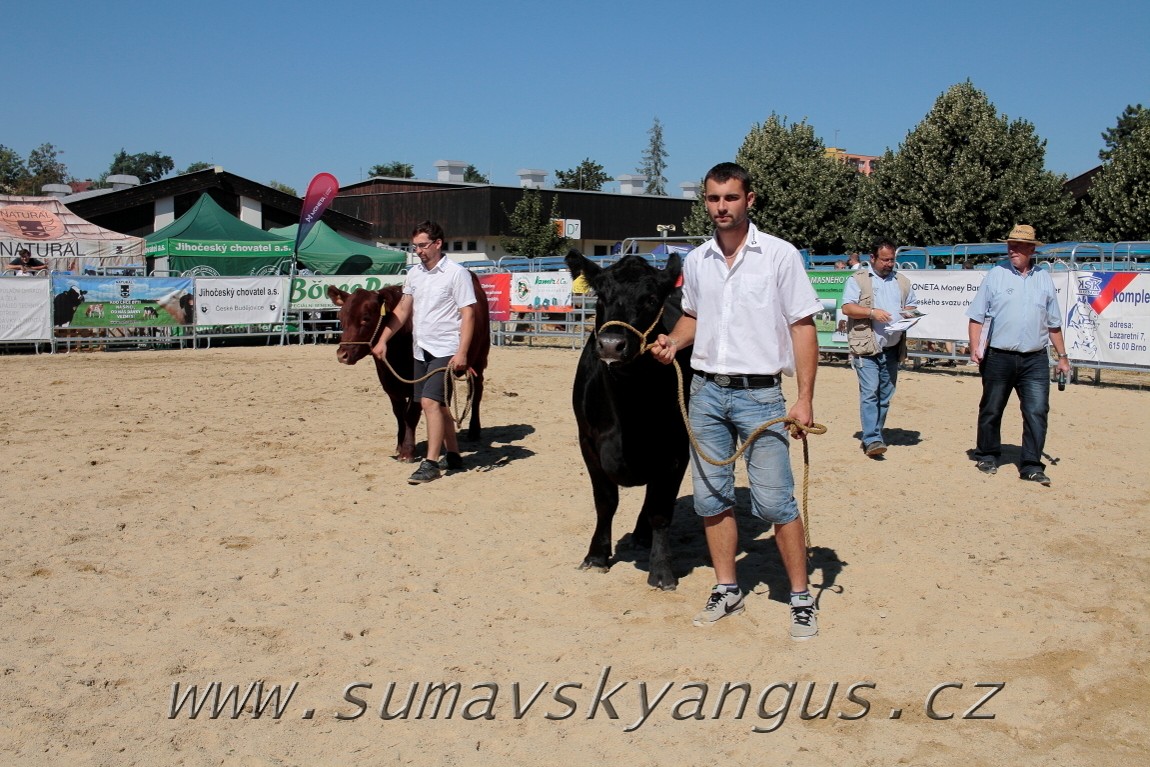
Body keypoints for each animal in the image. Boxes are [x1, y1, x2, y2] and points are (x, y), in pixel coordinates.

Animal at [326, 279, 487, 464]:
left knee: (477, 394)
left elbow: (410, 414)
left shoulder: (419, 381)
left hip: (479, 359)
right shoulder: (390, 384)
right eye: (340, 317)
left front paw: (407, 451)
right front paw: (399, 445)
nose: (342, 355)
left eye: (366, 318)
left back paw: (474, 430)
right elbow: (399, 414)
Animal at [565, 249, 690, 593]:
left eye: (650, 299)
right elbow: (605, 500)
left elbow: (661, 509)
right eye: (600, 296)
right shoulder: (587, 441)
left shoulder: (678, 448)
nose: (611, 344)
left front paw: (661, 570)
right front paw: (596, 556)